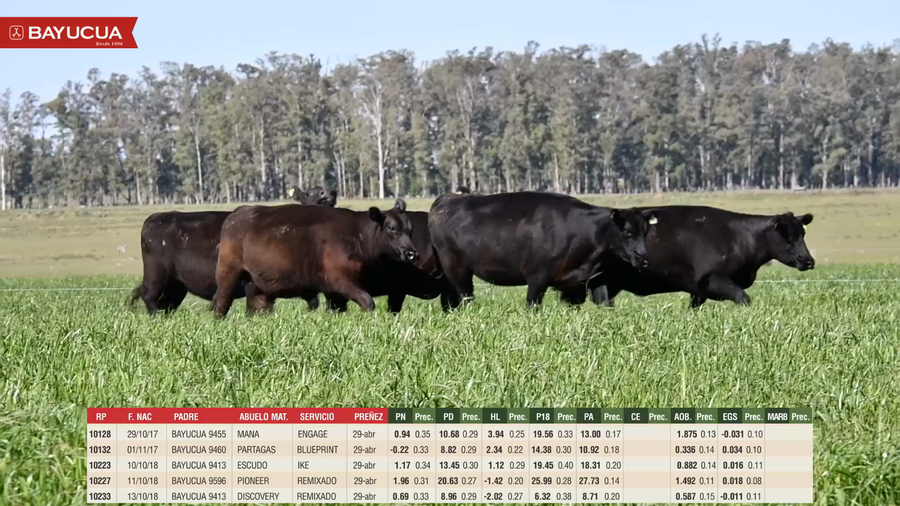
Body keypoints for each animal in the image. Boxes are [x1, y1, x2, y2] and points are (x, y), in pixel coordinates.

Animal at [129, 190, 337, 316]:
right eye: (309, 199)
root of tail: (156, 217)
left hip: (176, 286)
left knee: (164, 304)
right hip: (157, 277)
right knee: (149, 297)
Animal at [211, 199, 419, 317]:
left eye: (411, 229)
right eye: (392, 228)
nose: (412, 253)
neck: (357, 234)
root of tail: (239, 213)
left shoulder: (334, 293)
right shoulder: (341, 281)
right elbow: (368, 302)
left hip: (258, 286)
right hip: (228, 274)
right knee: (220, 303)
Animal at [427, 191, 656, 309]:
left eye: (646, 231)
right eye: (627, 231)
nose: (644, 258)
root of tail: (448, 198)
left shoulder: (593, 279)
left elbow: (605, 305)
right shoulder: (537, 278)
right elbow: (532, 306)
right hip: (456, 267)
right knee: (467, 298)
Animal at [588, 206, 815, 308]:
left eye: (802, 233)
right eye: (787, 235)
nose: (808, 260)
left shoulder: (698, 291)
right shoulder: (713, 279)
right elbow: (743, 298)